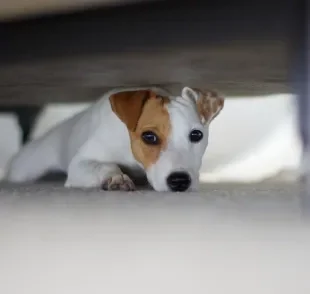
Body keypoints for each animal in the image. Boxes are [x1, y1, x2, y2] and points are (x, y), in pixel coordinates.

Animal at [6, 86, 224, 193]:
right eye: (149, 136)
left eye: (196, 135)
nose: (180, 181)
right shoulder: (80, 164)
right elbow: (104, 165)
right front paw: (115, 177)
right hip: (26, 170)